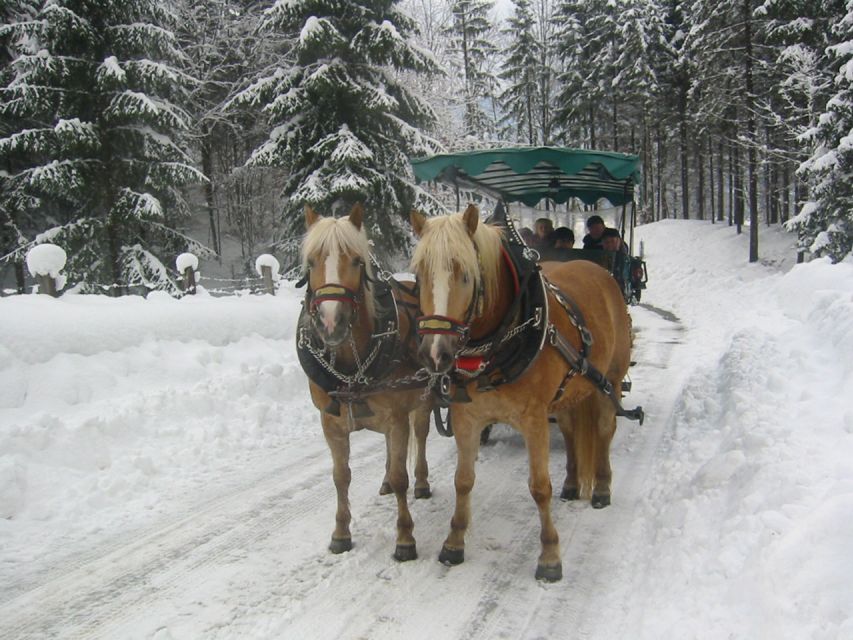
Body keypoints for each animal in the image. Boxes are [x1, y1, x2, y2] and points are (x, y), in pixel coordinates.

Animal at [300, 204, 432, 560]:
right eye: (311, 261)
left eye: (358, 261)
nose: (331, 322)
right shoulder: (330, 423)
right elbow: (340, 477)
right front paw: (341, 533)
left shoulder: (398, 416)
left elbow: (401, 477)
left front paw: (405, 538)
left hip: (422, 401)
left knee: (421, 436)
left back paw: (422, 483)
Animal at [406, 205, 632, 580]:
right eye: (419, 275)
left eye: (466, 275)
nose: (434, 353)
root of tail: (599, 270)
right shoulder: (467, 417)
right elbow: (463, 480)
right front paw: (454, 543)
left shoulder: (534, 418)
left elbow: (539, 487)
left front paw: (550, 556)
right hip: (567, 393)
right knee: (570, 431)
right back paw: (572, 484)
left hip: (609, 381)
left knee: (603, 429)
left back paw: (601, 488)